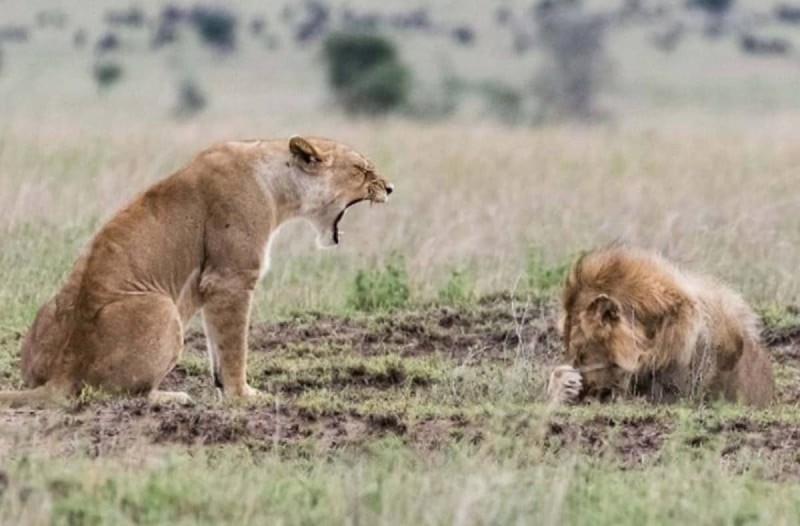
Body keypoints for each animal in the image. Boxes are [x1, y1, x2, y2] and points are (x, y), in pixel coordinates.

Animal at [0, 136, 394, 408]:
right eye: (363, 170)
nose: (390, 188)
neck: (277, 185)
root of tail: (63, 370)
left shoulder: (213, 288)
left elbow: (218, 348)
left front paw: (224, 389)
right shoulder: (232, 278)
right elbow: (235, 347)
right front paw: (243, 396)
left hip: (51, 311)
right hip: (162, 308)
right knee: (115, 393)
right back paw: (171, 397)